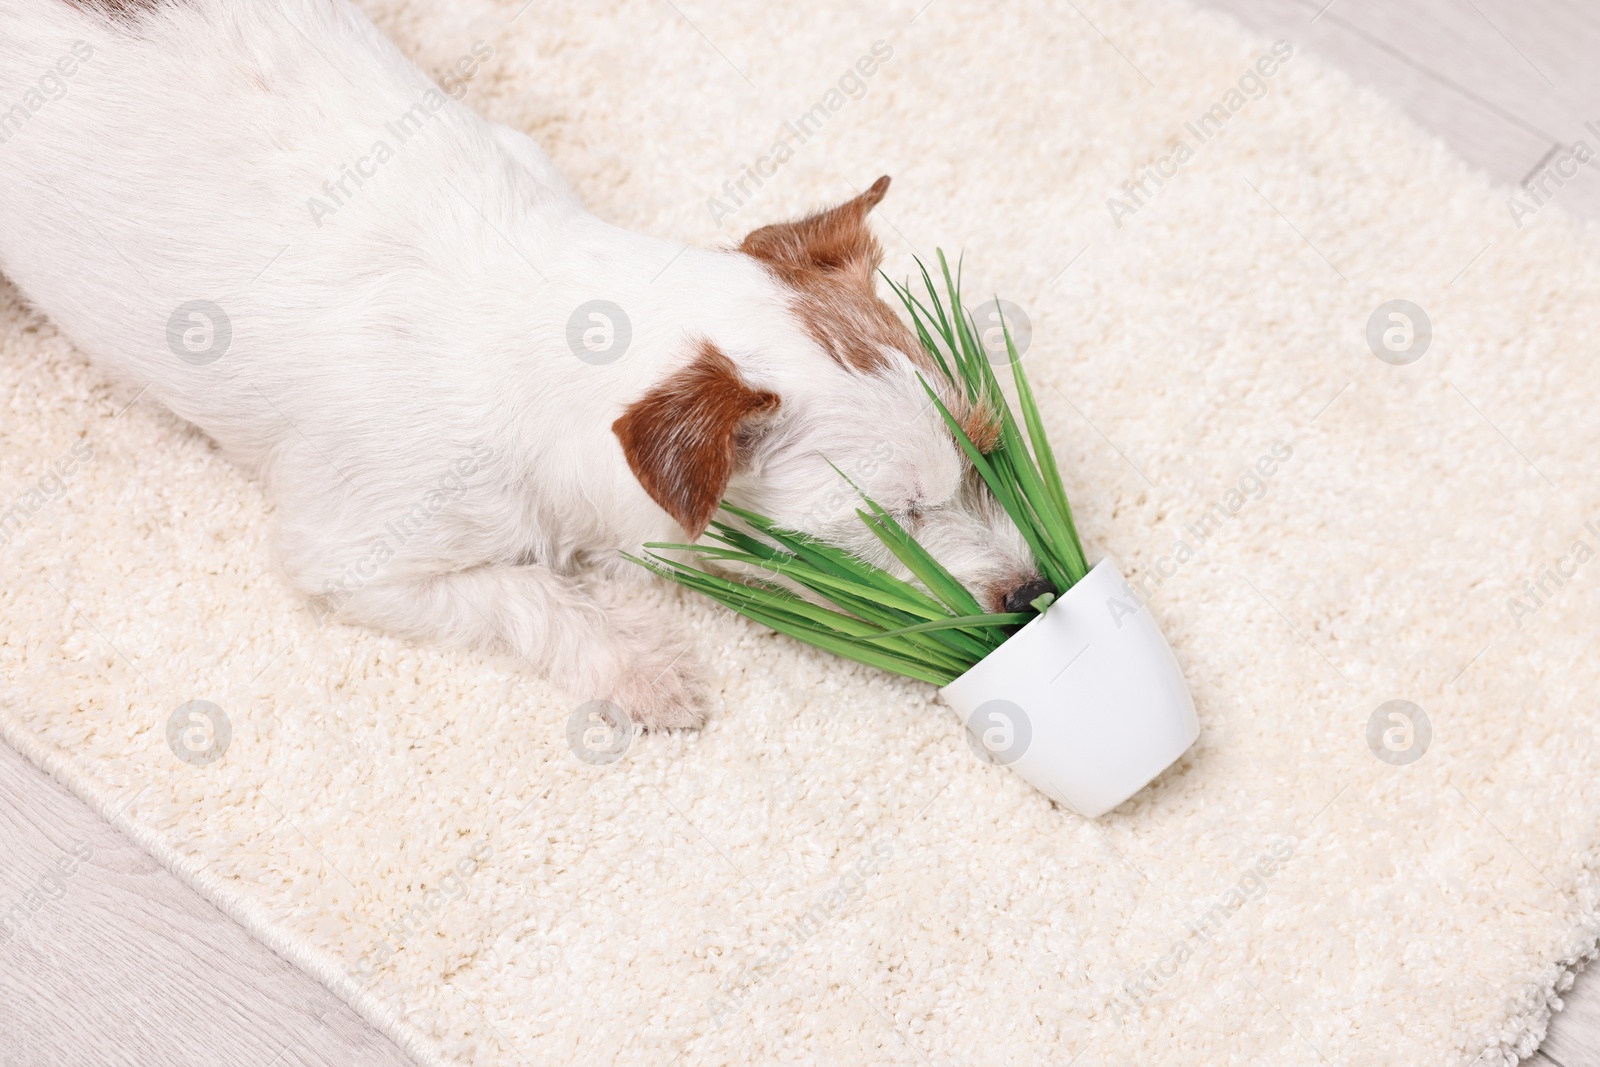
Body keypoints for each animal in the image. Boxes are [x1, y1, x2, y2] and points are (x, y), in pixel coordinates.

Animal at [3, 0, 1049, 726]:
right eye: (894, 519)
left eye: (985, 451)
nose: (1033, 594)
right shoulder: (349, 553)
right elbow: (525, 593)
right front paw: (642, 669)